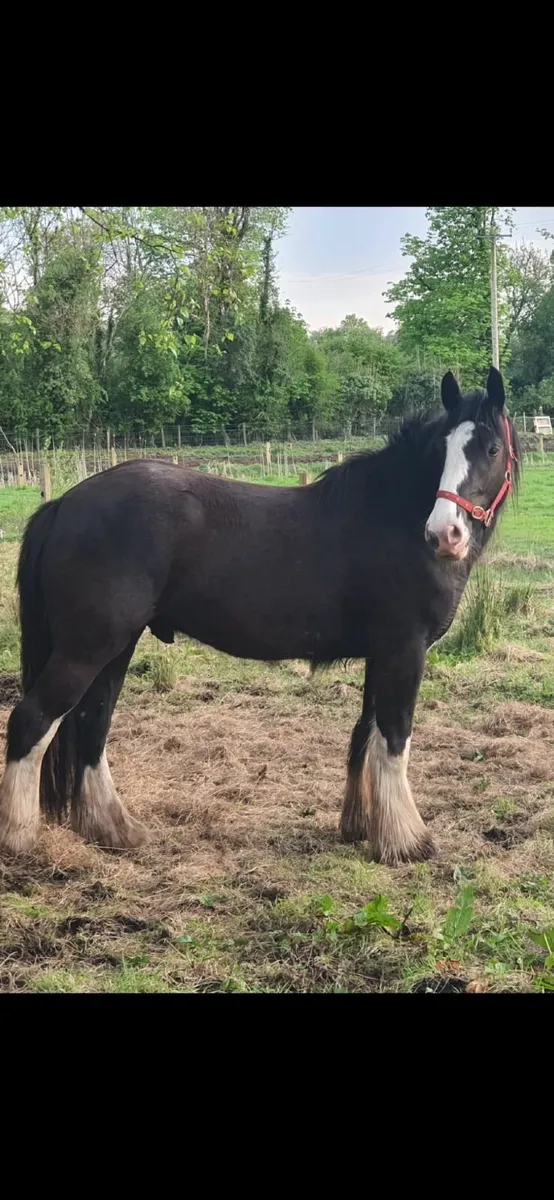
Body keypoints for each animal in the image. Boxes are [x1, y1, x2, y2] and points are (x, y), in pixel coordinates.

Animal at [0, 366, 520, 865]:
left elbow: (365, 735)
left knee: (92, 725)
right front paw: (408, 842)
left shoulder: (383, 655)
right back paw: (20, 839)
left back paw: (114, 831)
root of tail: (64, 504)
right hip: (87, 648)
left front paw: (363, 827)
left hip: (115, 647)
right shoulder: (404, 651)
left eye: (491, 448)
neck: (394, 518)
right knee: (31, 721)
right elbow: (394, 739)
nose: (445, 535)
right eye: (442, 449)